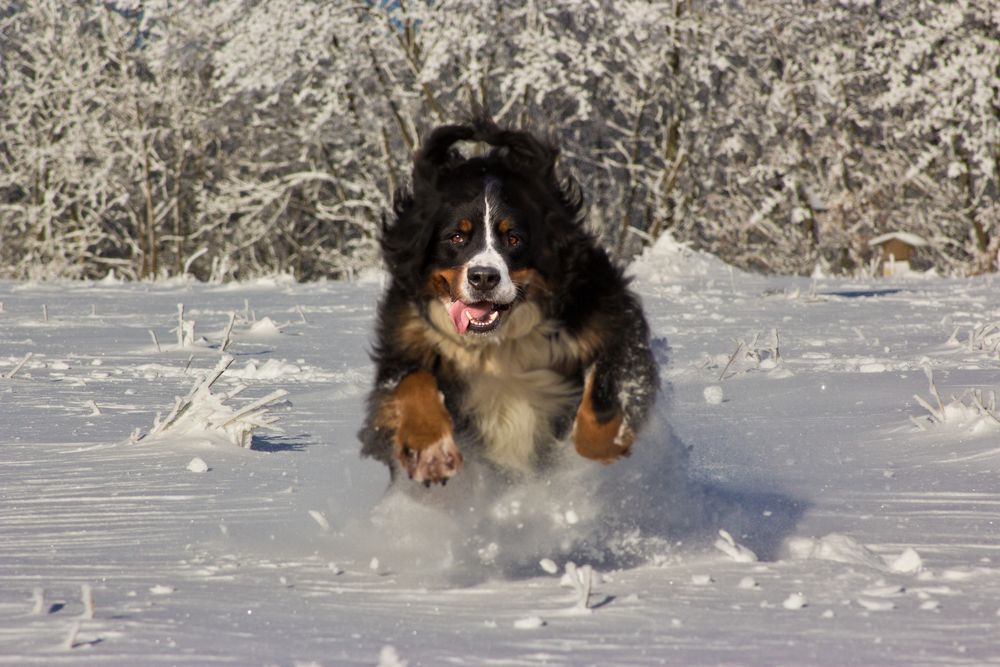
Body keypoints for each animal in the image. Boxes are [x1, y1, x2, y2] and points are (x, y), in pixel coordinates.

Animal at [358, 117, 656, 488]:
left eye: (513, 238)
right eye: (457, 236)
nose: (484, 277)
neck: (498, 343)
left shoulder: (607, 318)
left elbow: (609, 385)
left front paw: (604, 445)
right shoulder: (406, 338)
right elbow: (410, 383)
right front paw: (431, 454)